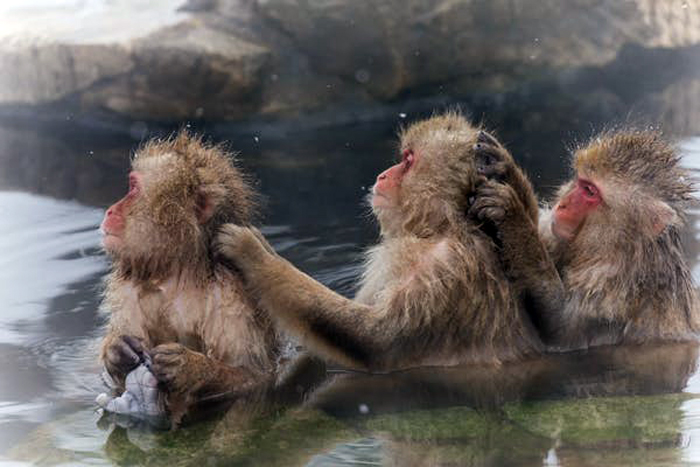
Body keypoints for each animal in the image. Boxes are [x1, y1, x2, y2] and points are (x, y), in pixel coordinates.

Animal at [216, 113, 560, 372]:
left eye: (408, 160)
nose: (382, 175)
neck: (438, 229)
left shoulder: (441, 272)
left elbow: (376, 342)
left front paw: (258, 258)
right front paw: (505, 172)